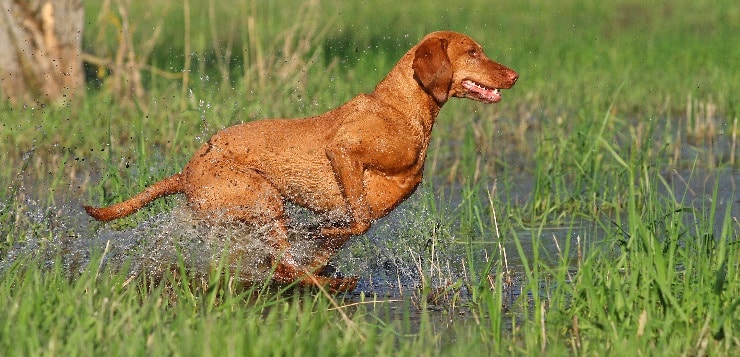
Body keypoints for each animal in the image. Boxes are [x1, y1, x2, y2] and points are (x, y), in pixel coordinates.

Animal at [84, 31, 516, 292]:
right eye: (472, 52)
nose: (513, 74)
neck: (401, 110)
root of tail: (186, 171)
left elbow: (340, 233)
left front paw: (317, 239)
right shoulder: (343, 152)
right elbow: (355, 220)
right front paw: (315, 234)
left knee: (285, 267)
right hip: (263, 196)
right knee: (284, 266)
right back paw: (333, 282)